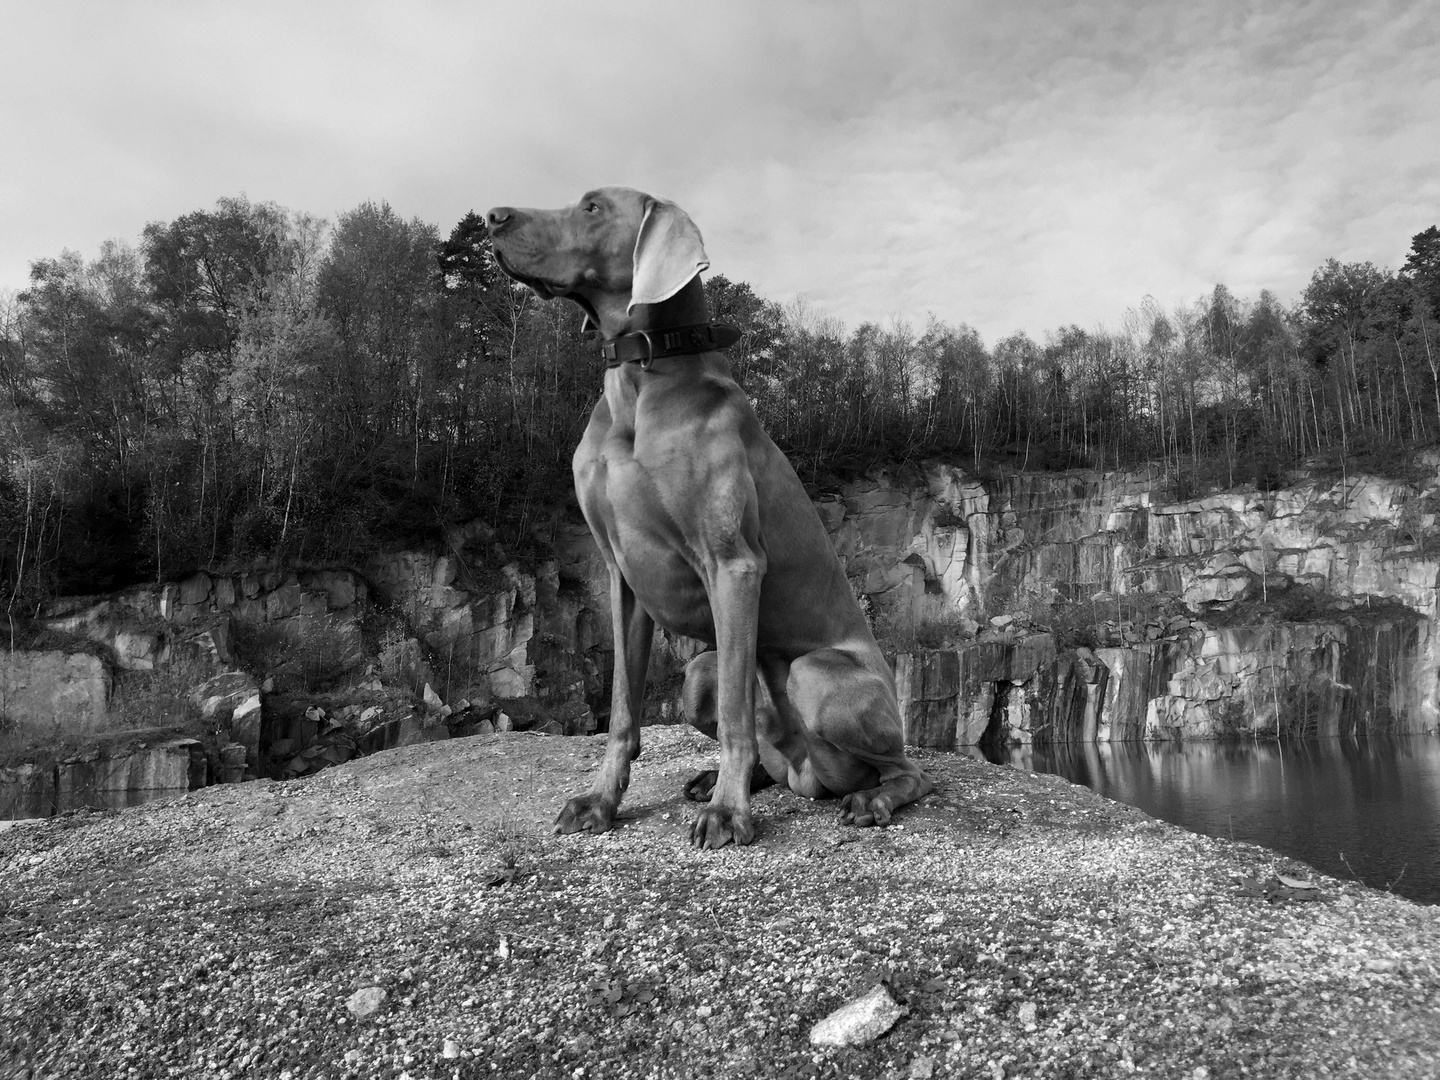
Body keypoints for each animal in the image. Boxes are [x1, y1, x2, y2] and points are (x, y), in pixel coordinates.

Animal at [483, 185, 933, 852]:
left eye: (593, 207)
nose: (491, 216)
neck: (638, 381)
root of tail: (809, 779)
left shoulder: (733, 564)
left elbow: (734, 722)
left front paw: (728, 813)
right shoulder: (621, 574)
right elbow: (622, 708)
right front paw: (600, 801)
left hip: (817, 676)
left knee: (908, 768)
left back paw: (869, 799)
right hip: (697, 673)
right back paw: (722, 780)